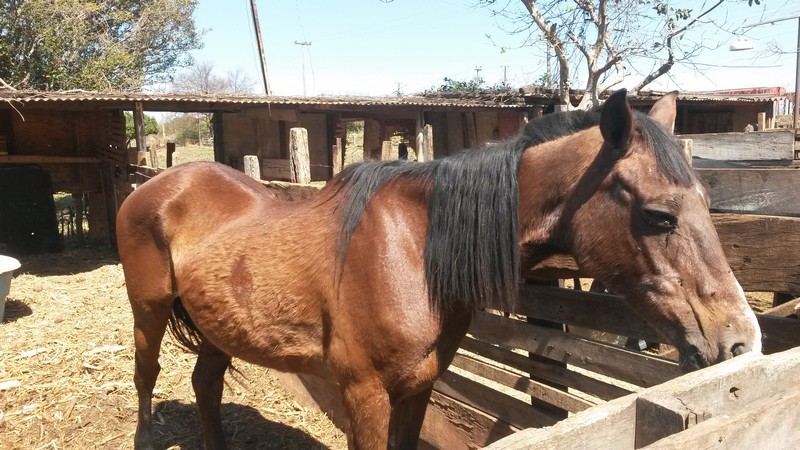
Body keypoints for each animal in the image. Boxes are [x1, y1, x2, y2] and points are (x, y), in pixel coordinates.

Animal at [119, 89, 764, 448]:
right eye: (658, 216)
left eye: (707, 201)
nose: (739, 341)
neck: (413, 249)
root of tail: (157, 184)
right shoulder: (363, 395)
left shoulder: (417, 388)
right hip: (148, 311)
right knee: (147, 375)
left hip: (216, 326)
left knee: (205, 385)